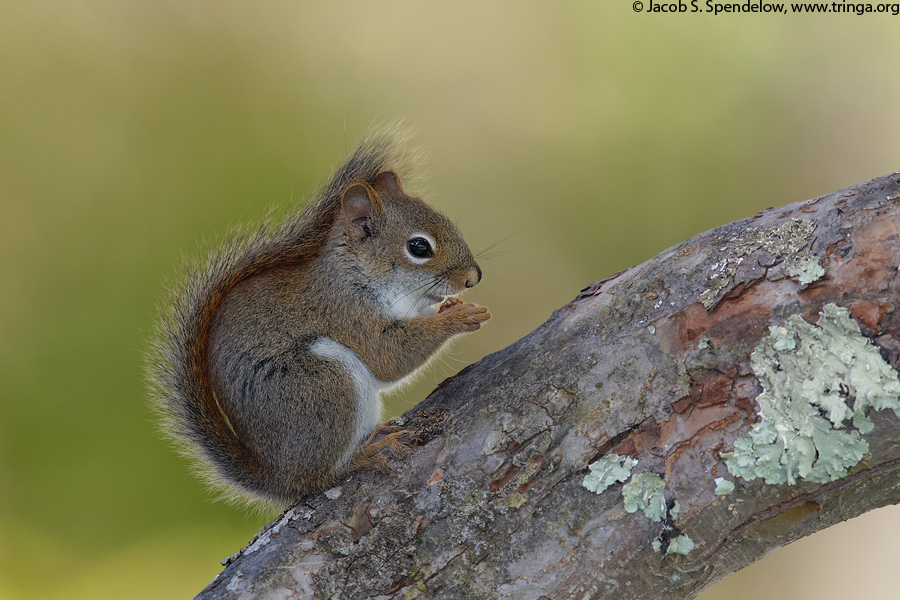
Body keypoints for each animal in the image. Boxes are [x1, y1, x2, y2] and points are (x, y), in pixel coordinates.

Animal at [149, 130, 492, 506]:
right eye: (419, 247)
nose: (473, 278)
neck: (359, 274)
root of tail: (277, 476)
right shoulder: (346, 312)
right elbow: (388, 359)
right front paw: (457, 319)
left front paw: (452, 308)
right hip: (324, 384)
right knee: (321, 477)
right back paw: (365, 455)